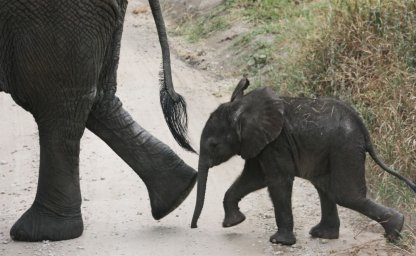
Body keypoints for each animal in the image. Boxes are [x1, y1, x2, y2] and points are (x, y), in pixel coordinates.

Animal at [192, 77, 416, 244]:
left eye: (213, 145)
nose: (193, 226)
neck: (242, 107)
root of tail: (362, 127)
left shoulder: (275, 143)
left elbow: (277, 181)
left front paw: (279, 242)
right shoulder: (259, 143)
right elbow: (254, 178)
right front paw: (233, 223)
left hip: (345, 147)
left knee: (345, 194)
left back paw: (395, 231)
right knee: (326, 187)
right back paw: (325, 234)